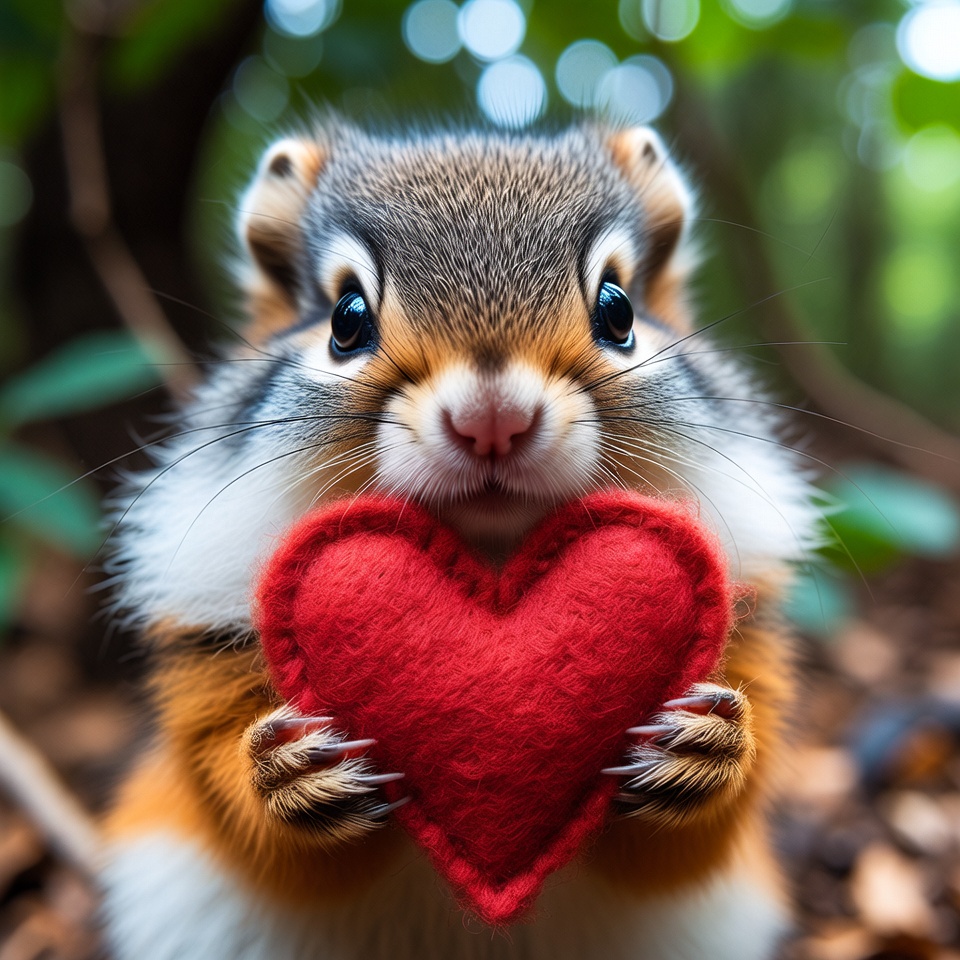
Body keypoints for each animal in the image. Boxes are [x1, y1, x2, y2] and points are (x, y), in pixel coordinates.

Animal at [99, 118, 818, 960]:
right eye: (345, 318)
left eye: (619, 311)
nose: (492, 420)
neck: (492, 553)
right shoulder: (205, 664)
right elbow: (247, 817)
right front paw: (287, 772)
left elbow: (685, 844)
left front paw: (706, 750)